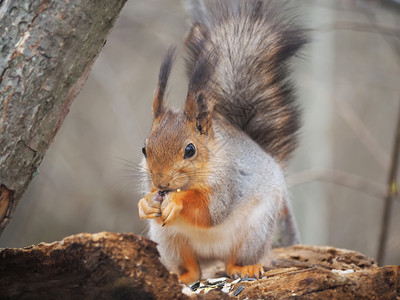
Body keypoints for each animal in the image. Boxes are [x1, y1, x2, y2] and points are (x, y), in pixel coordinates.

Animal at [138, 0, 310, 284]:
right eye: (144, 148)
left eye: (190, 150)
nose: (161, 183)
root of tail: (213, 255)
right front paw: (146, 202)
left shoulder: (229, 183)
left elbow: (210, 210)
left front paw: (177, 202)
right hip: (169, 239)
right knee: (193, 266)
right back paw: (183, 276)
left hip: (256, 231)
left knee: (234, 261)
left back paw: (244, 268)